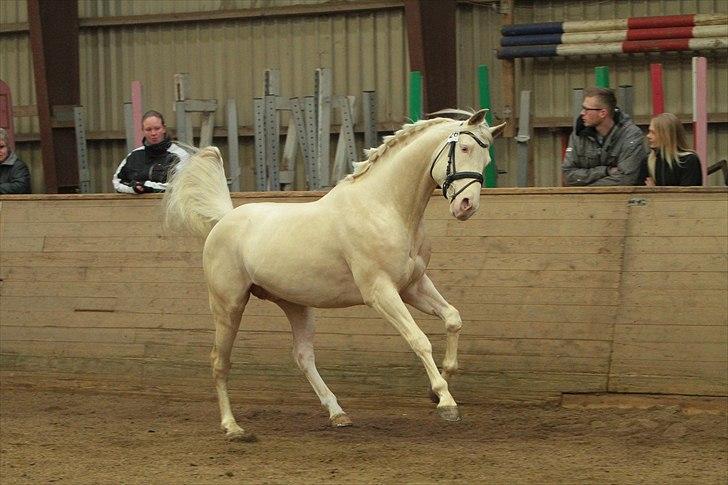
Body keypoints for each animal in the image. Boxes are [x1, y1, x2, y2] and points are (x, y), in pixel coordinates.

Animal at [164, 108, 504, 438]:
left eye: (487, 160)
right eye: (464, 147)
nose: (466, 206)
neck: (385, 207)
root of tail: (224, 220)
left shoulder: (413, 286)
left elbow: (453, 318)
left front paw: (438, 388)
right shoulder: (380, 292)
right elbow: (419, 340)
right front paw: (446, 402)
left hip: (296, 305)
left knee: (303, 356)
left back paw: (338, 414)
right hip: (229, 305)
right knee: (219, 361)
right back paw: (232, 427)